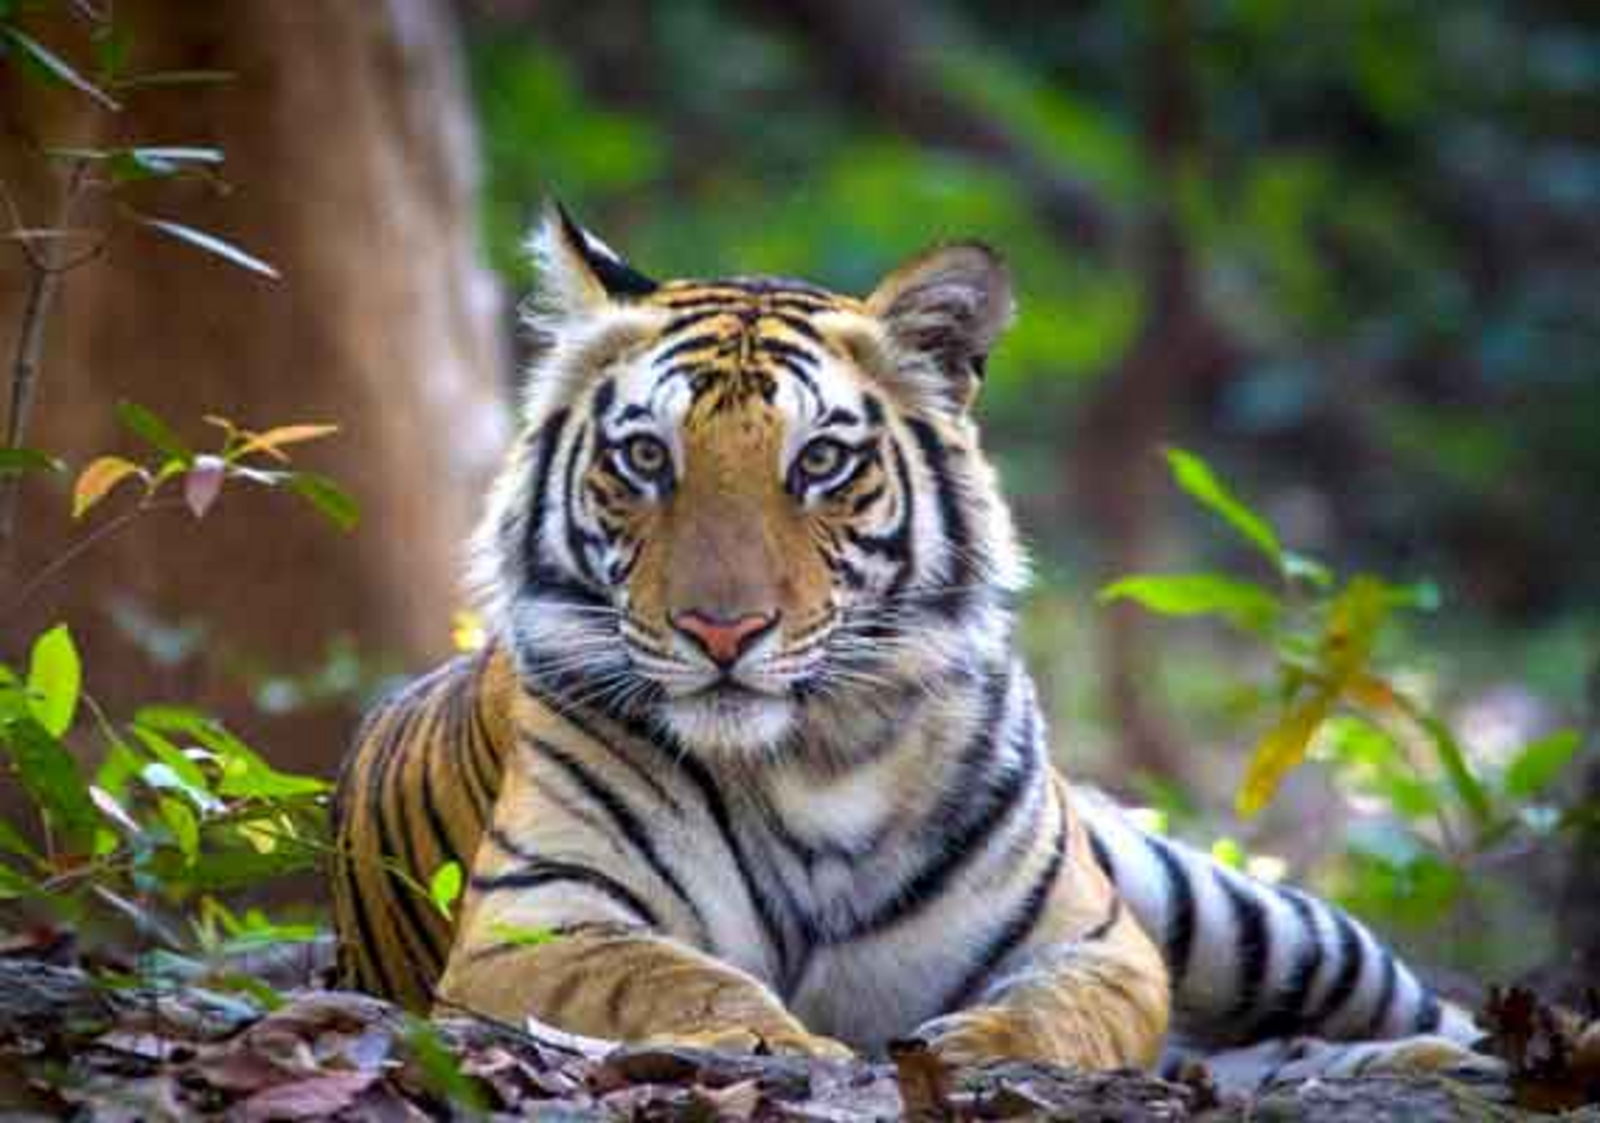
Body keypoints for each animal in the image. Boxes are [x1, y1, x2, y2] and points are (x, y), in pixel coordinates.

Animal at [330, 205, 1501, 1089]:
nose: (722, 629)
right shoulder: (538, 919)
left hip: (1241, 912)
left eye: (820, 461)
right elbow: (673, 979)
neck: (811, 761)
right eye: (646, 458)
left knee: (1415, 1003)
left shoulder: (1094, 939)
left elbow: (1057, 1014)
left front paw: (971, 1051)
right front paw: (785, 1044)